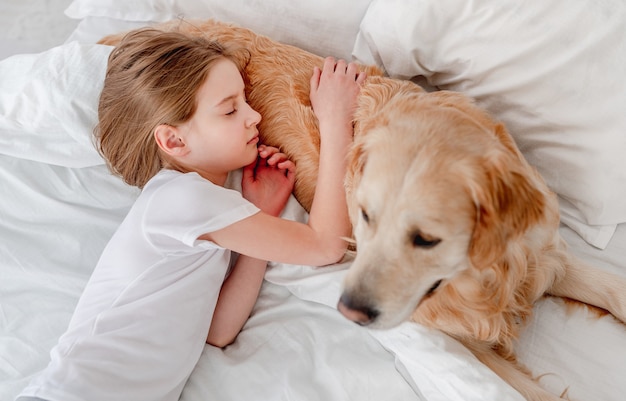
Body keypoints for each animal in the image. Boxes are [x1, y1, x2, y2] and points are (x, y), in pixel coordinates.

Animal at [100, 19, 624, 400]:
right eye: (366, 218)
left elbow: (611, 289)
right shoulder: (462, 340)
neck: (481, 281)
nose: (349, 310)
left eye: (426, 238)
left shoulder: (542, 259)